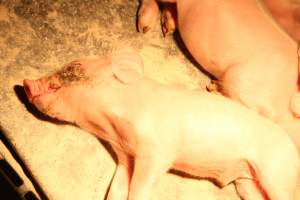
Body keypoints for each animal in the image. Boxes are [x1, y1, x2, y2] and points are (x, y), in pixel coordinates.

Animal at [22, 49, 298, 200]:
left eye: (75, 65)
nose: (25, 83)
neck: (114, 129)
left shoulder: (157, 153)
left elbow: (138, 189)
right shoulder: (125, 157)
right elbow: (117, 189)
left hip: (277, 174)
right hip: (248, 184)